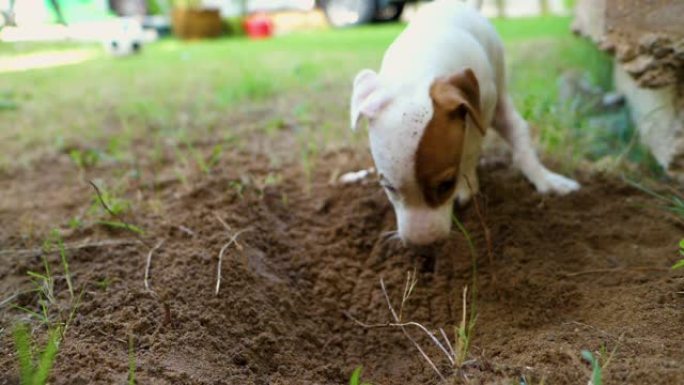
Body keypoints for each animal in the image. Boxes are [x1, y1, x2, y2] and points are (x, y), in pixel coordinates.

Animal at [350, 0, 580, 244]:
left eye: (446, 185)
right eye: (389, 187)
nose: (423, 244)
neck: (418, 71)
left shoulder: (484, 104)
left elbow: (470, 147)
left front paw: (467, 182)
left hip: (501, 103)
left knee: (518, 140)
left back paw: (545, 179)